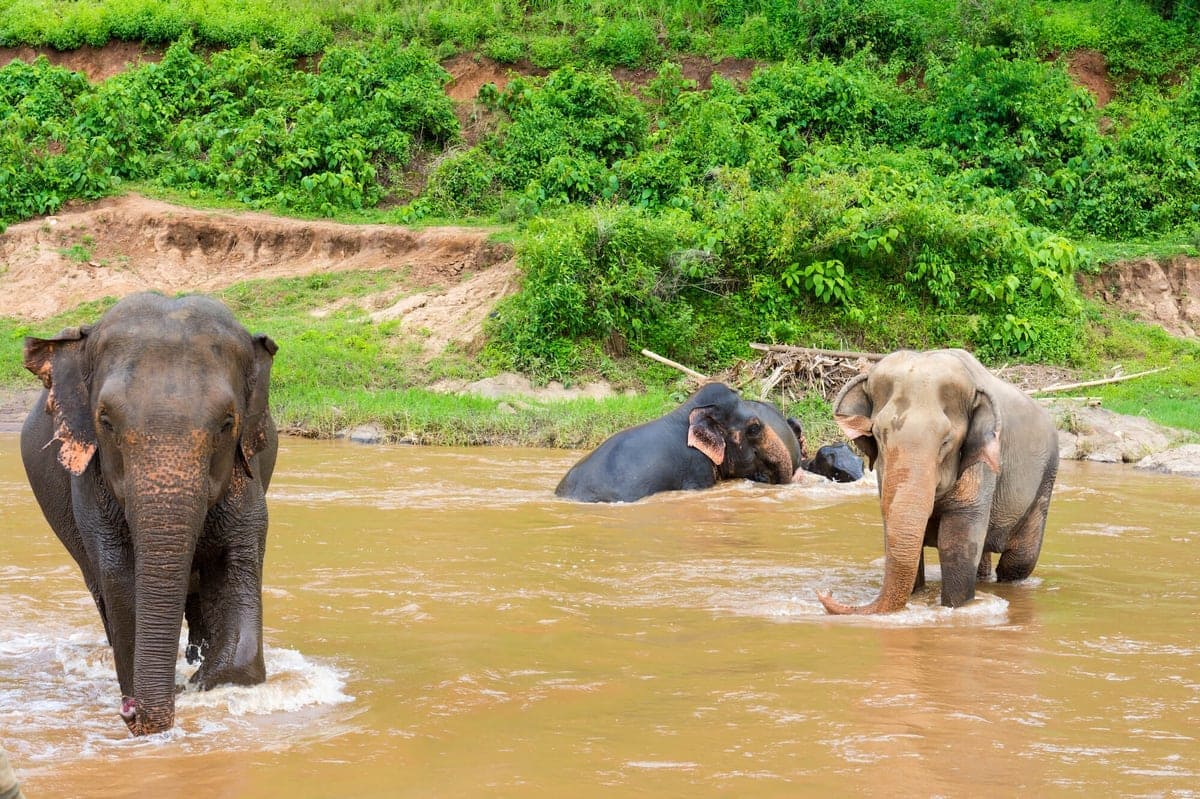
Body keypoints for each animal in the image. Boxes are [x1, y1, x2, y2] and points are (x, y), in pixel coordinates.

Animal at [21, 292, 278, 734]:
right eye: (105, 420)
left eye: (227, 423)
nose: (128, 712)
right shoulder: (92, 486)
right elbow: (121, 578)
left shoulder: (246, 475)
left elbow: (236, 565)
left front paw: (201, 684)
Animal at [816, 345, 1060, 611]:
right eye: (878, 435)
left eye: (946, 441)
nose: (826, 592)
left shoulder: (982, 462)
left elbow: (956, 542)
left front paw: (955, 608)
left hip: (1046, 477)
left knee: (1018, 560)